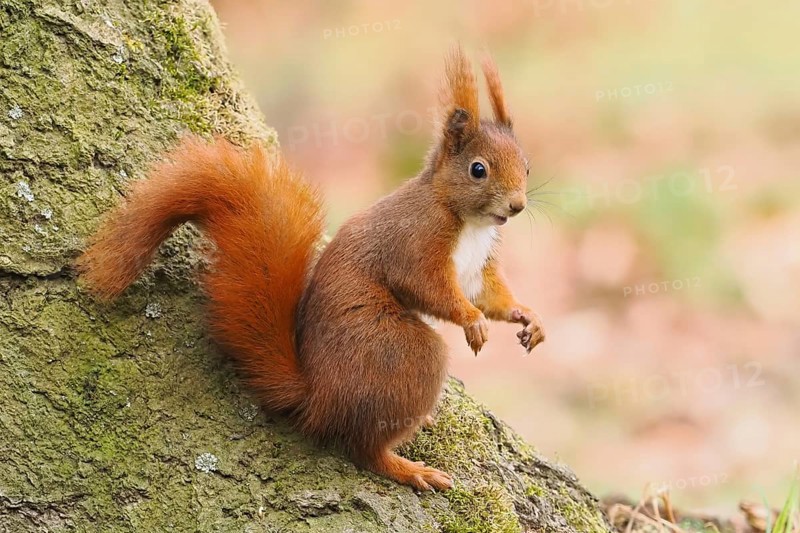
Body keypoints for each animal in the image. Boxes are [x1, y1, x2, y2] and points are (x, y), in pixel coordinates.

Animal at [77, 46, 545, 492]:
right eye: (478, 169)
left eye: (526, 165)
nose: (517, 206)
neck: (468, 221)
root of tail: (318, 397)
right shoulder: (415, 242)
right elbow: (429, 287)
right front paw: (472, 320)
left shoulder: (479, 265)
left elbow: (490, 293)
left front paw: (527, 317)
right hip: (398, 352)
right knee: (364, 448)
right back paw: (407, 467)